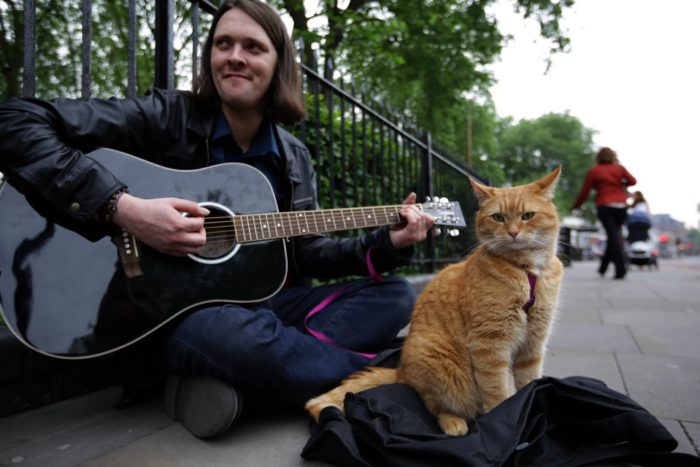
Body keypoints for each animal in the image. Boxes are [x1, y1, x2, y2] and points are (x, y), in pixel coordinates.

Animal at [306, 167, 564, 436]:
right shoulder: (489, 345)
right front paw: (505, 419)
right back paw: (454, 423)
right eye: (498, 218)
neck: (527, 271)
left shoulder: (533, 345)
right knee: (435, 405)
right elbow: (497, 393)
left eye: (527, 216)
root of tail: (402, 371)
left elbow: (527, 383)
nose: (513, 233)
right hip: (442, 366)